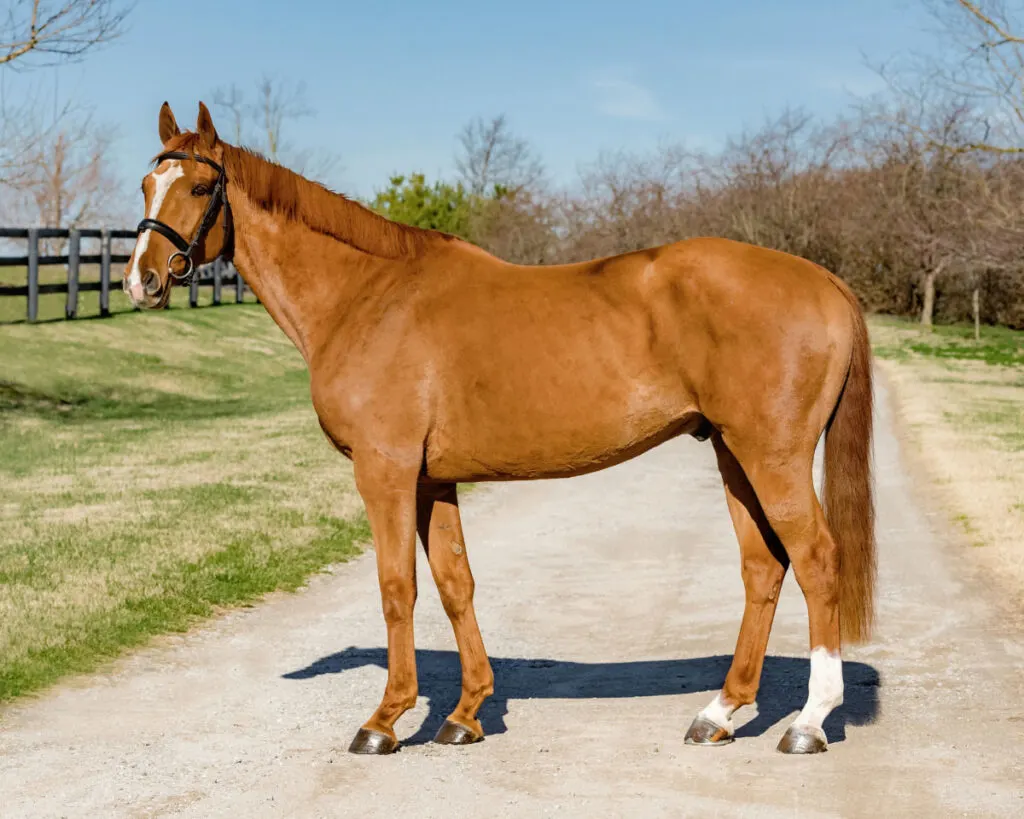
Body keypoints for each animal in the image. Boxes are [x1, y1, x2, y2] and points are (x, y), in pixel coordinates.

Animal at [123, 105, 876, 757]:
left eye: (199, 186)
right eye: (146, 183)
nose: (142, 281)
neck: (368, 296)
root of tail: (825, 282)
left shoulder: (385, 471)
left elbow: (397, 587)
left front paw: (385, 720)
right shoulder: (433, 480)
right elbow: (456, 583)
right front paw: (464, 715)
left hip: (770, 455)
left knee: (816, 560)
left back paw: (808, 722)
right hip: (730, 452)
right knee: (764, 567)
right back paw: (720, 713)